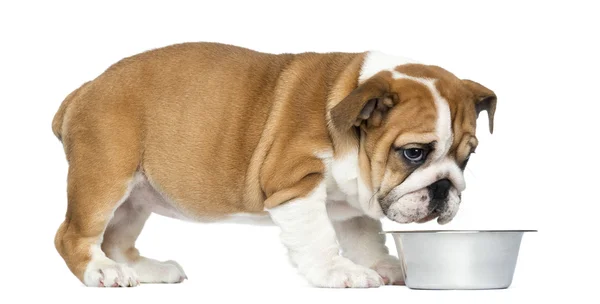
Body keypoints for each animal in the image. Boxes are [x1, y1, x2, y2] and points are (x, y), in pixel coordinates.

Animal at [51, 42, 496, 288]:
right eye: (414, 153)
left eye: (467, 156)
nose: (445, 187)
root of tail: (84, 89)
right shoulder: (295, 185)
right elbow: (319, 238)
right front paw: (340, 273)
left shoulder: (353, 201)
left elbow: (364, 236)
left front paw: (383, 265)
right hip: (106, 177)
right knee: (73, 236)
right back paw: (102, 272)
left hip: (137, 198)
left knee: (116, 240)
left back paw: (146, 270)